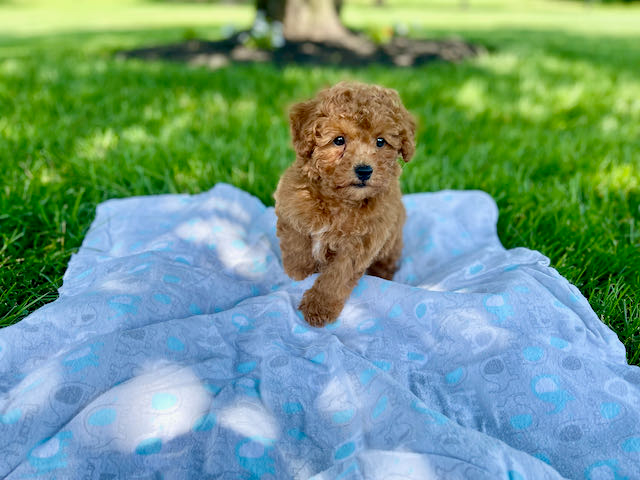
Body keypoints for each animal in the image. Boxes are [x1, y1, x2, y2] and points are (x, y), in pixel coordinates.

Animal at [274, 81, 416, 326]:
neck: (338, 201)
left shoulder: (359, 244)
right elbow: (296, 246)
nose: (364, 170)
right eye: (339, 140)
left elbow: (336, 277)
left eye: (380, 142)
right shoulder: (291, 209)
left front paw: (319, 307)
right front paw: (298, 274)